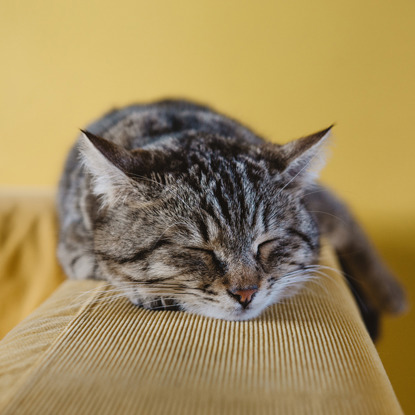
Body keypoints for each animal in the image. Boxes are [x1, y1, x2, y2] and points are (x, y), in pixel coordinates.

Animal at [57, 99, 408, 340]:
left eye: (266, 243)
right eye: (199, 250)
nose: (245, 293)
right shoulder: (73, 250)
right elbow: (104, 268)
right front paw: (149, 291)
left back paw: (390, 291)